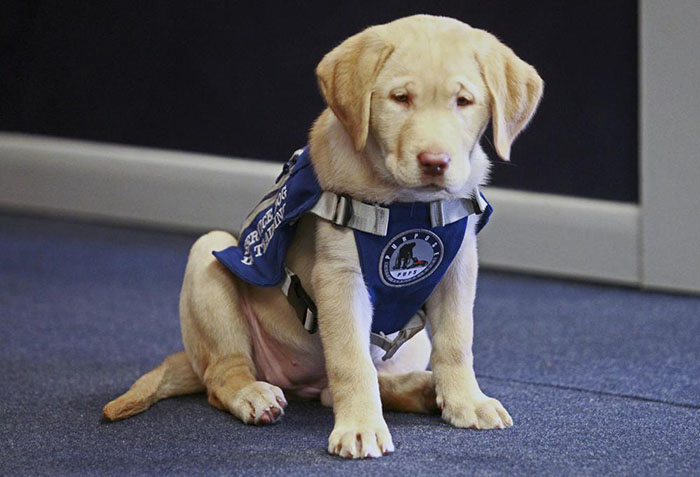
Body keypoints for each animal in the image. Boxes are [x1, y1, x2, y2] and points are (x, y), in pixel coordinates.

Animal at [102, 14, 540, 458]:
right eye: (400, 98)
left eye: (463, 101)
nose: (435, 162)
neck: (407, 205)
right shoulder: (339, 278)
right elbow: (350, 359)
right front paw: (361, 428)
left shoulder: (457, 268)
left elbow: (456, 341)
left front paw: (467, 401)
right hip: (207, 256)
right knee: (224, 373)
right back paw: (252, 394)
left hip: (411, 344)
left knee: (346, 387)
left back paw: (421, 389)